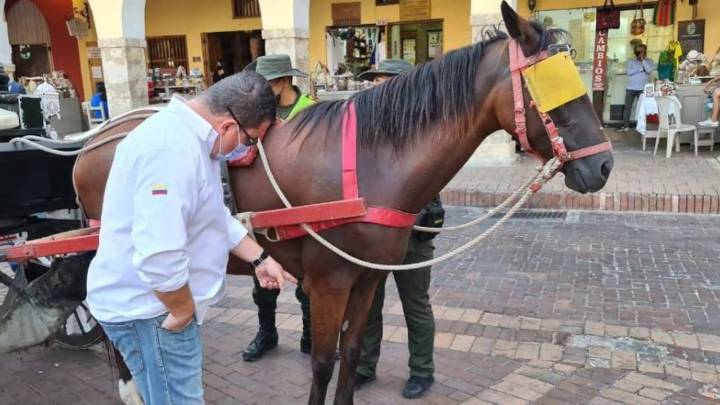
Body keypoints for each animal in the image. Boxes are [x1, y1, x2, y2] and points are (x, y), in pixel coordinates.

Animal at [73, 3, 613, 404]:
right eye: (552, 85)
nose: (605, 165)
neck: (370, 165)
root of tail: (96, 141)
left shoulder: (369, 279)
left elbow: (352, 354)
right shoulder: (330, 283)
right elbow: (323, 361)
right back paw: (130, 386)